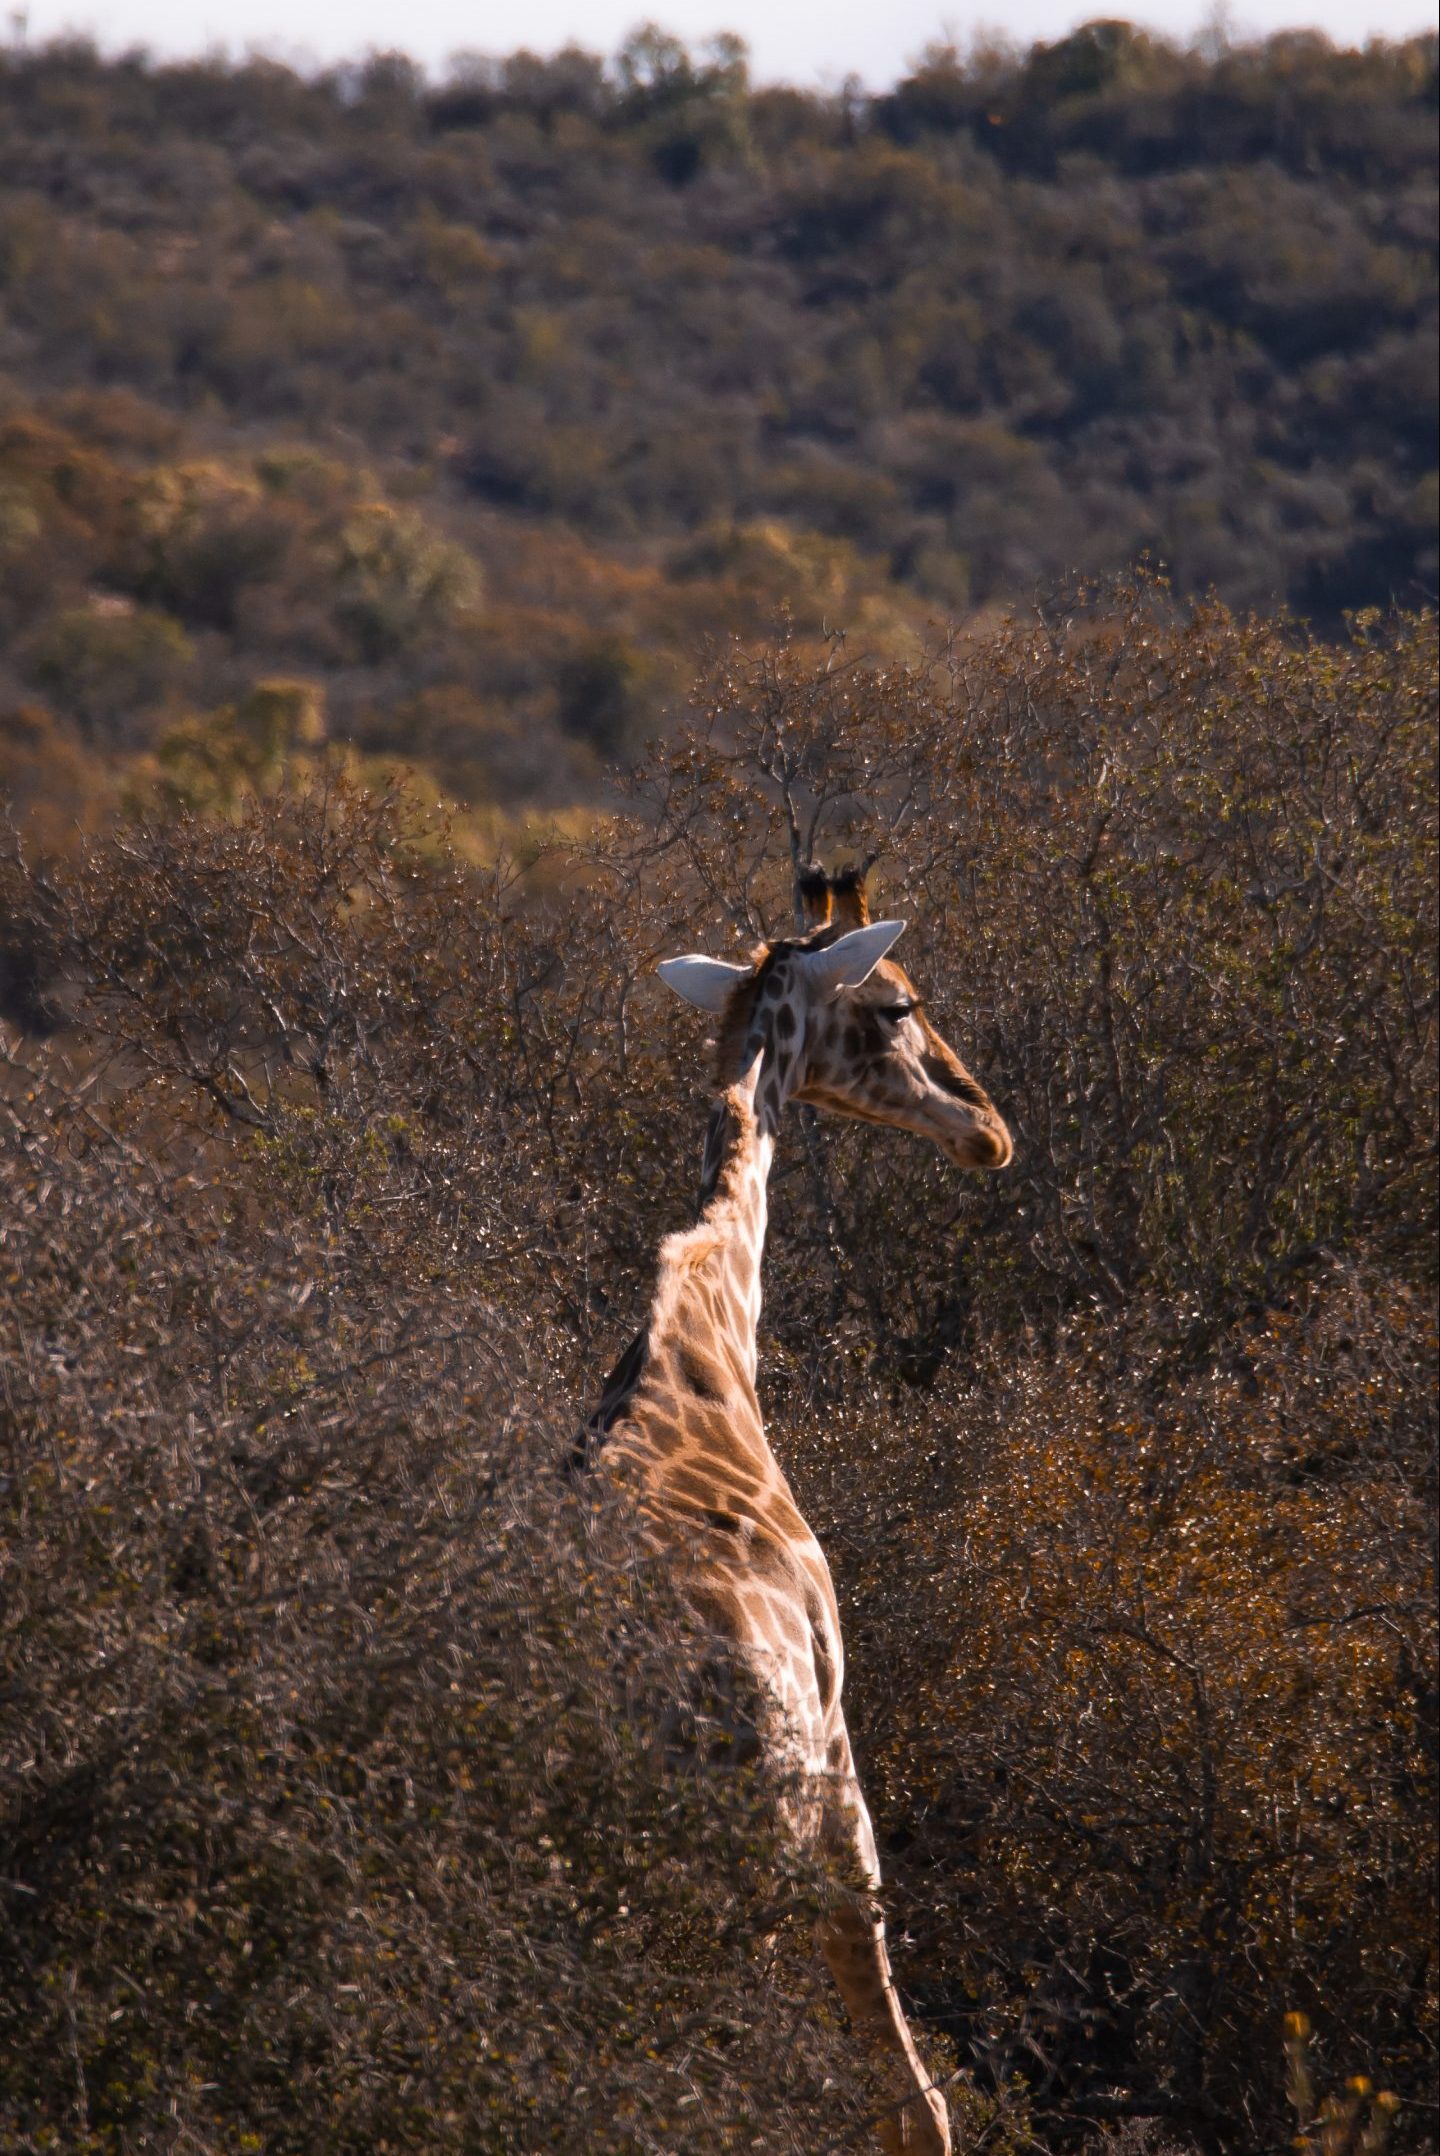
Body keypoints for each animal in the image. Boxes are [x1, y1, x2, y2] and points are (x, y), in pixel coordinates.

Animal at [577, 866, 1013, 2147]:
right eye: (900, 1004)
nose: (988, 1129)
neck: (706, 1335)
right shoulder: (837, 1753)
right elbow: (915, 2095)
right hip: (725, 1869)